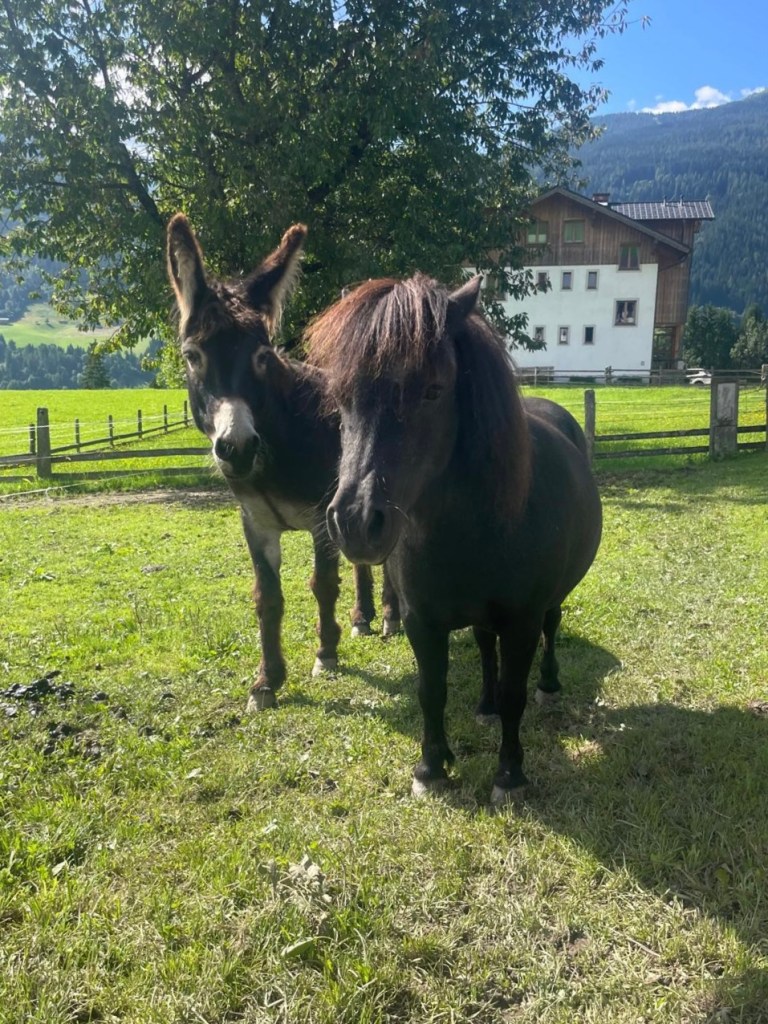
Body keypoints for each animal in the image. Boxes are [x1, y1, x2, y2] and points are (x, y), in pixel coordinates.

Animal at [166, 215, 399, 712]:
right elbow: (267, 598)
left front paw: (326, 653)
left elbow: (322, 584)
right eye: (192, 357)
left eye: (262, 355)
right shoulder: (255, 522)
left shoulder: (321, 518)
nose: (237, 448)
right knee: (363, 559)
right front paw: (266, 682)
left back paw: (390, 616)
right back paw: (363, 616)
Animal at [306, 273, 602, 803]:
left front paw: (509, 774)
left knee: (552, 626)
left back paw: (548, 686)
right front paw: (431, 767)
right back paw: (483, 707)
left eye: (433, 391)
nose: (356, 521)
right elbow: (432, 689)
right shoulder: (421, 620)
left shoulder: (522, 620)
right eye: (340, 396)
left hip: (548, 605)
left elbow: (514, 693)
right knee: (485, 647)